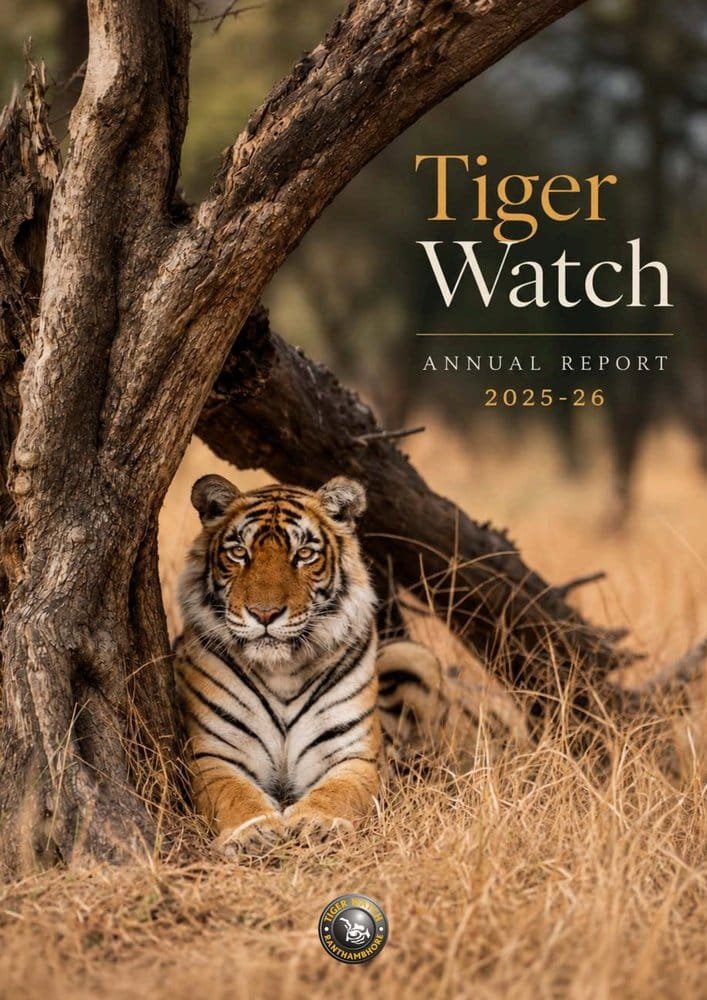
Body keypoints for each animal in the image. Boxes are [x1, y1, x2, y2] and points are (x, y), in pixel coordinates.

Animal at [175, 473, 465, 856]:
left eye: (304, 555)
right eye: (239, 553)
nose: (264, 613)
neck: (281, 670)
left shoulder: (353, 754)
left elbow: (338, 792)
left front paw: (317, 824)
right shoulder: (214, 753)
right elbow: (235, 794)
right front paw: (252, 832)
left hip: (413, 656)